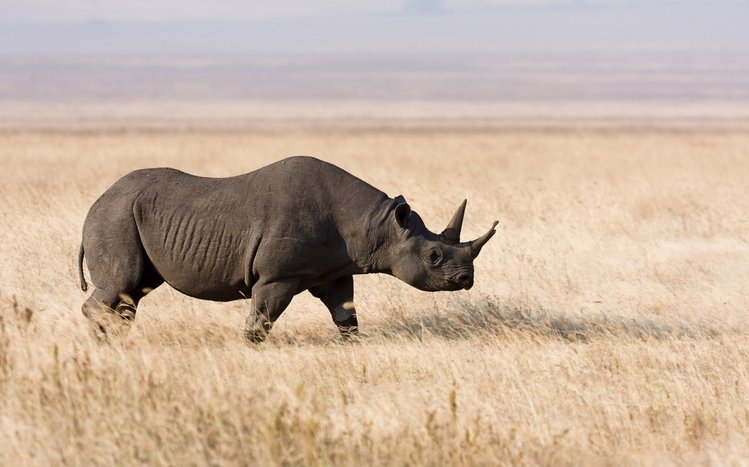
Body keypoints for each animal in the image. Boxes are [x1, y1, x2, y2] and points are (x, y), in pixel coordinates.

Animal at [78, 156, 497, 341]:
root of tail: (95, 202)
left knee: (134, 291)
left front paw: (351, 346)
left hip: (124, 215)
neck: (377, 225)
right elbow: (260, 321)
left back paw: (116, 340)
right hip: (115, 217)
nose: (467, 279)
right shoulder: (279, 276)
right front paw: (251, 349)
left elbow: (346, 316)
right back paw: (104, 340)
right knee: (122, 283)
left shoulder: (334, 270)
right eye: (434, 257)